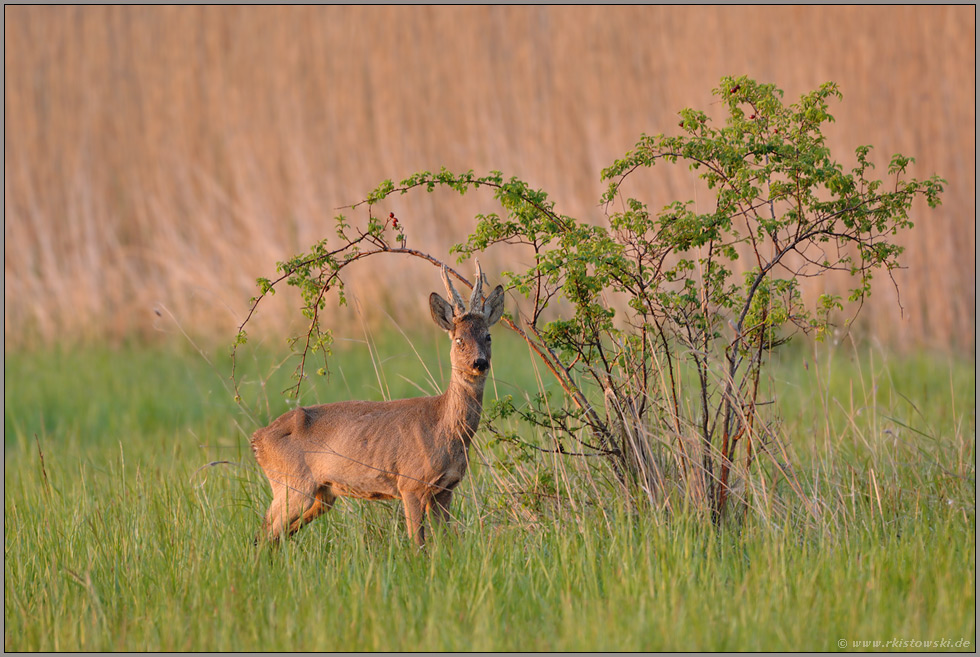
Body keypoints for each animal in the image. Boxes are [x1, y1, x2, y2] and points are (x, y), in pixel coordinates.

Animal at [251, 258, 506, 544]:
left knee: (273, 537)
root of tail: (257, 440)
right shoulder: (410, 483)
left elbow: (444, 544)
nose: (479, 363)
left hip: (321, 495)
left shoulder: (445, 488)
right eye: (459, 339)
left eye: (488, 336)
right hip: (291, 484)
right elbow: (417, 544)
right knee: (263, 535)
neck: (444, 427)